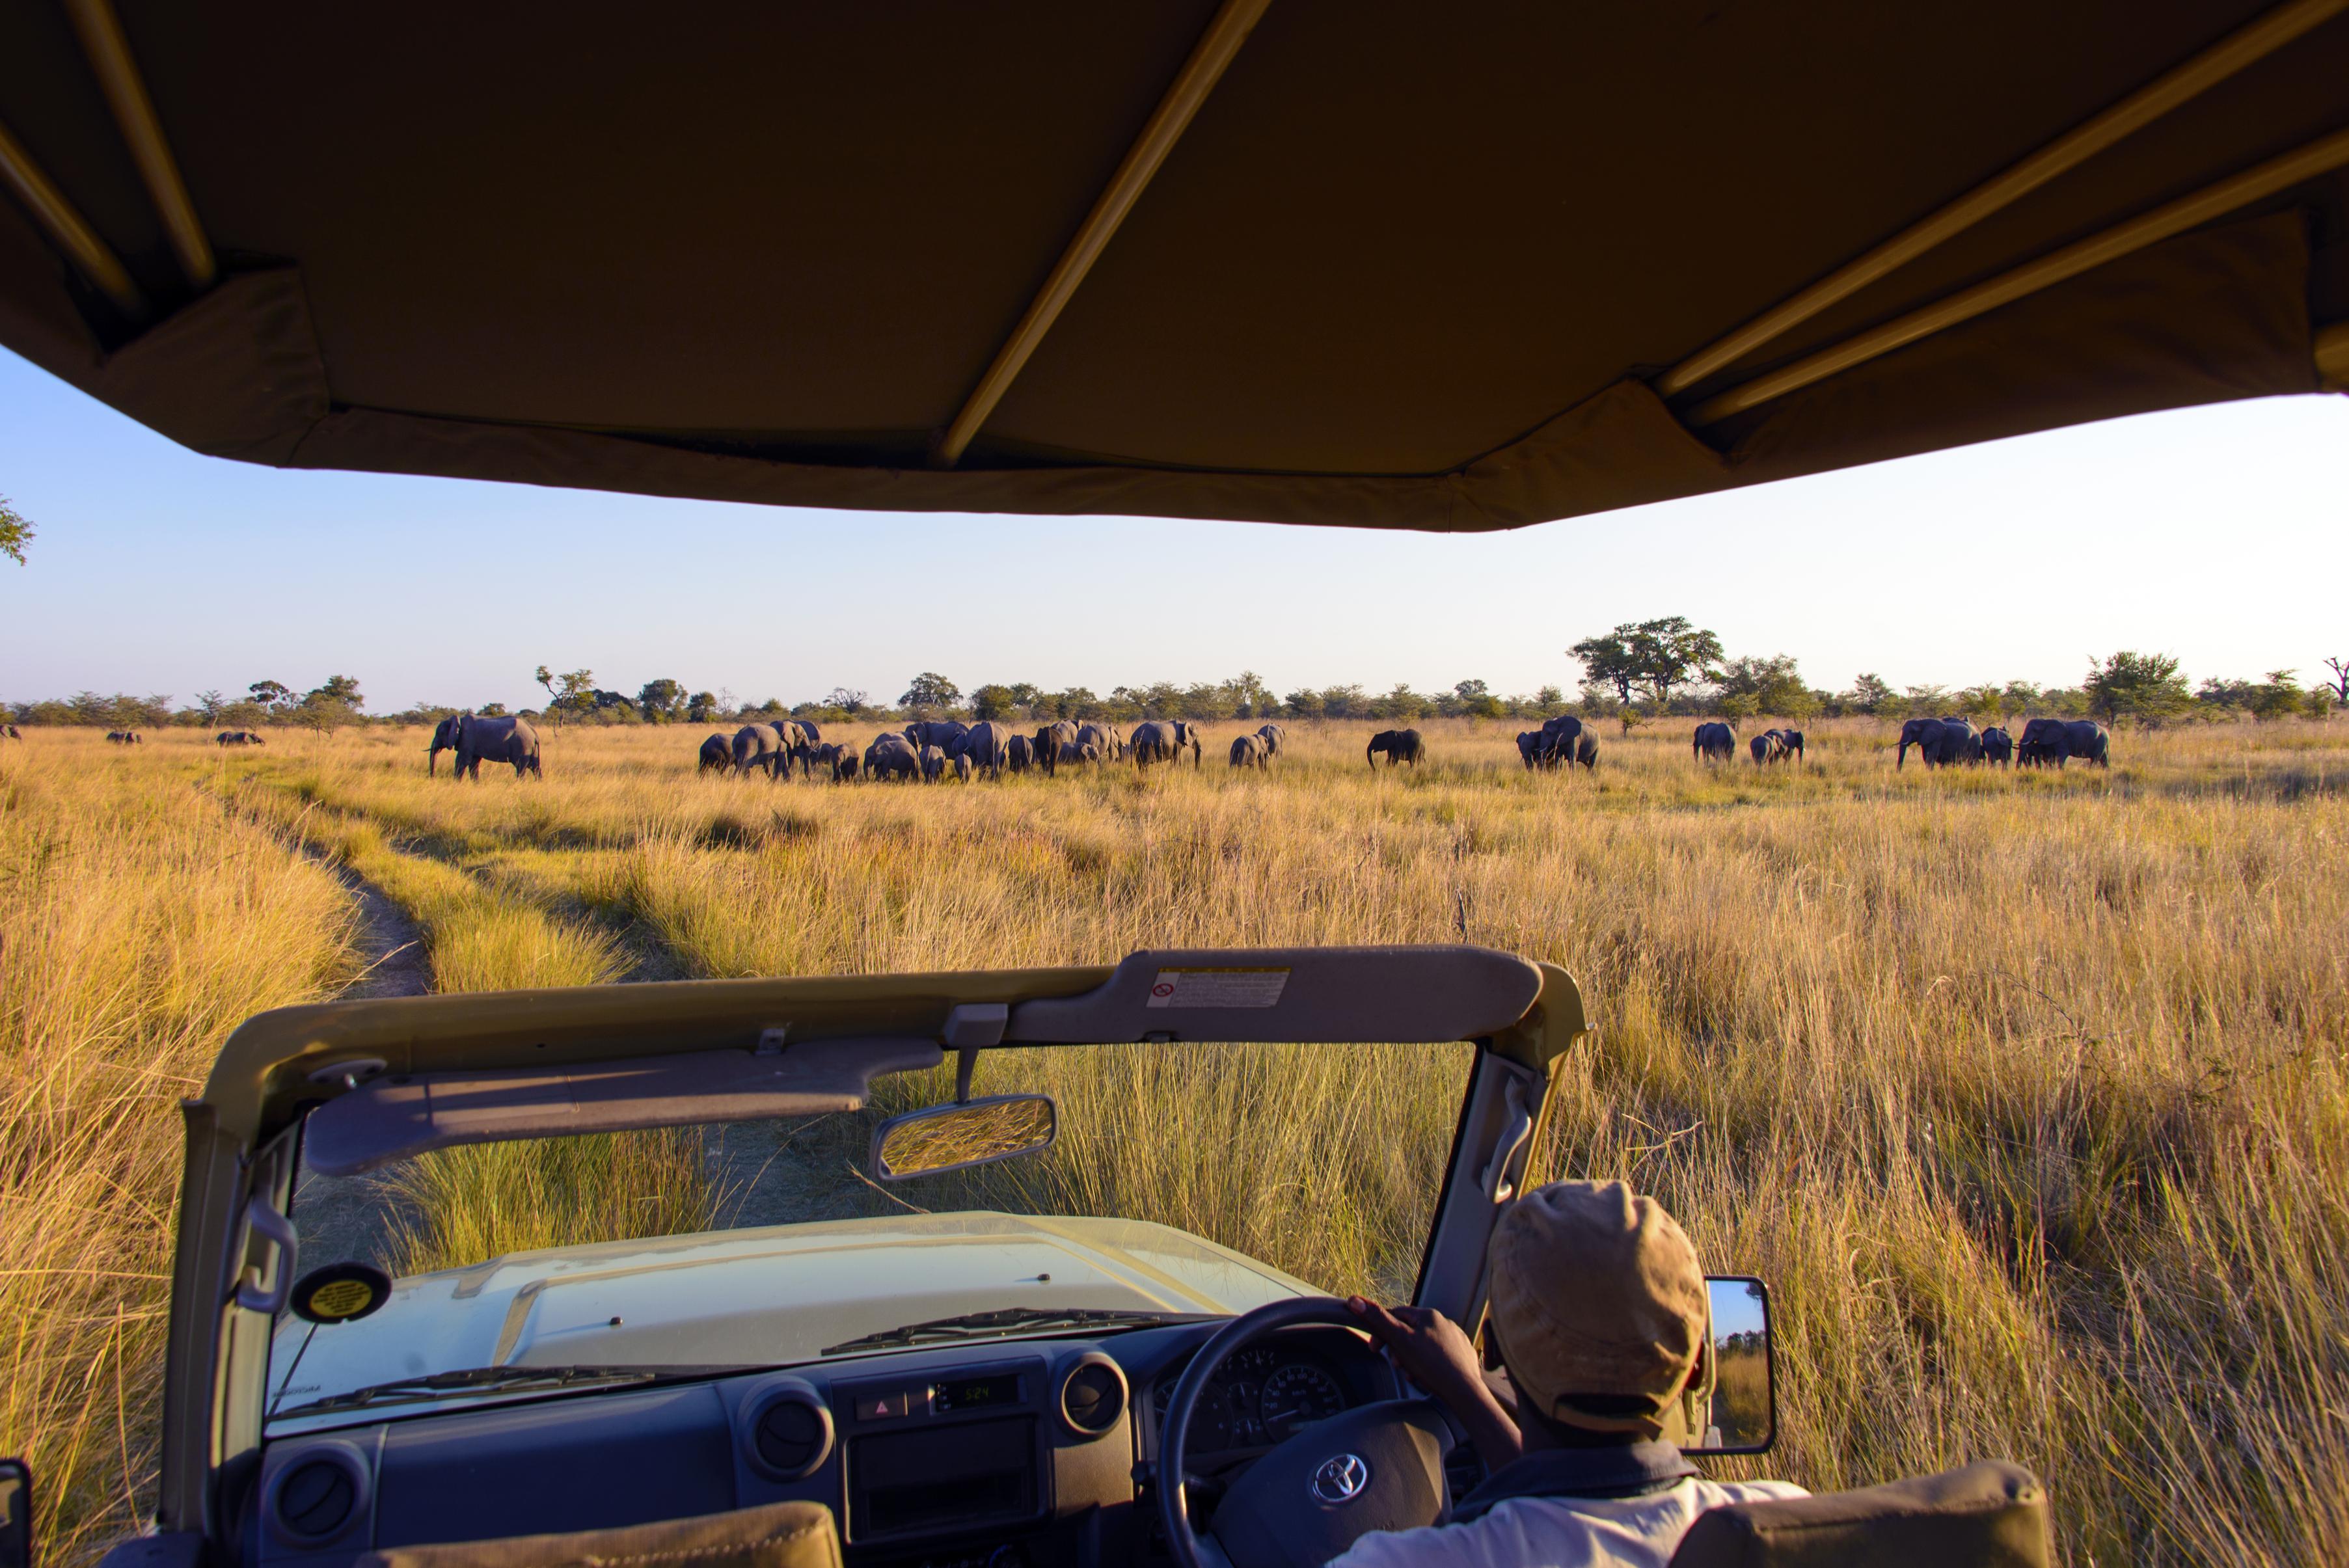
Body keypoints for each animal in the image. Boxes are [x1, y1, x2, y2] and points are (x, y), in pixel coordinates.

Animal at [2018, 717, 2110, 768]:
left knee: (2095, 759)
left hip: (2100, 742)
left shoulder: (2062, 740)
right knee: (2103, 759)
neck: (2045, 721)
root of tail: (2106, 732)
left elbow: (2062, 756)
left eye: (2034, 730)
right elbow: (2051, 758)